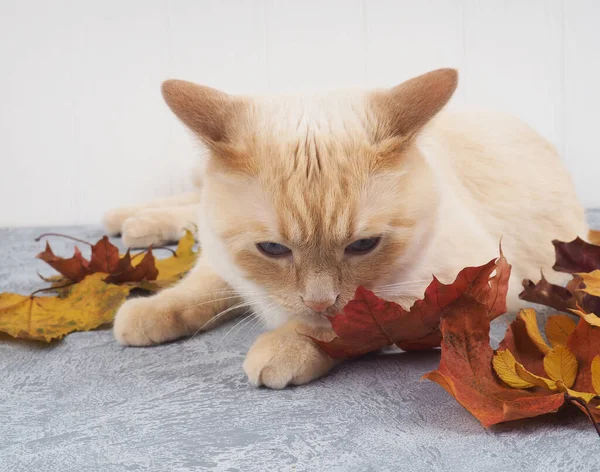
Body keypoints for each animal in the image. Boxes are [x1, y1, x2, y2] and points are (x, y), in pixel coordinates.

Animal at [110, 68, 588, 390]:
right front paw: (152, 310)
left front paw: (285, 346)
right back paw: (126, 221)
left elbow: (342, 324)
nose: (319, 301)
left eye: (363, 245)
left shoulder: (464, 286)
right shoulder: (224, 256)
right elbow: (200, 284)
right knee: (185, 204)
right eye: (272, 249)